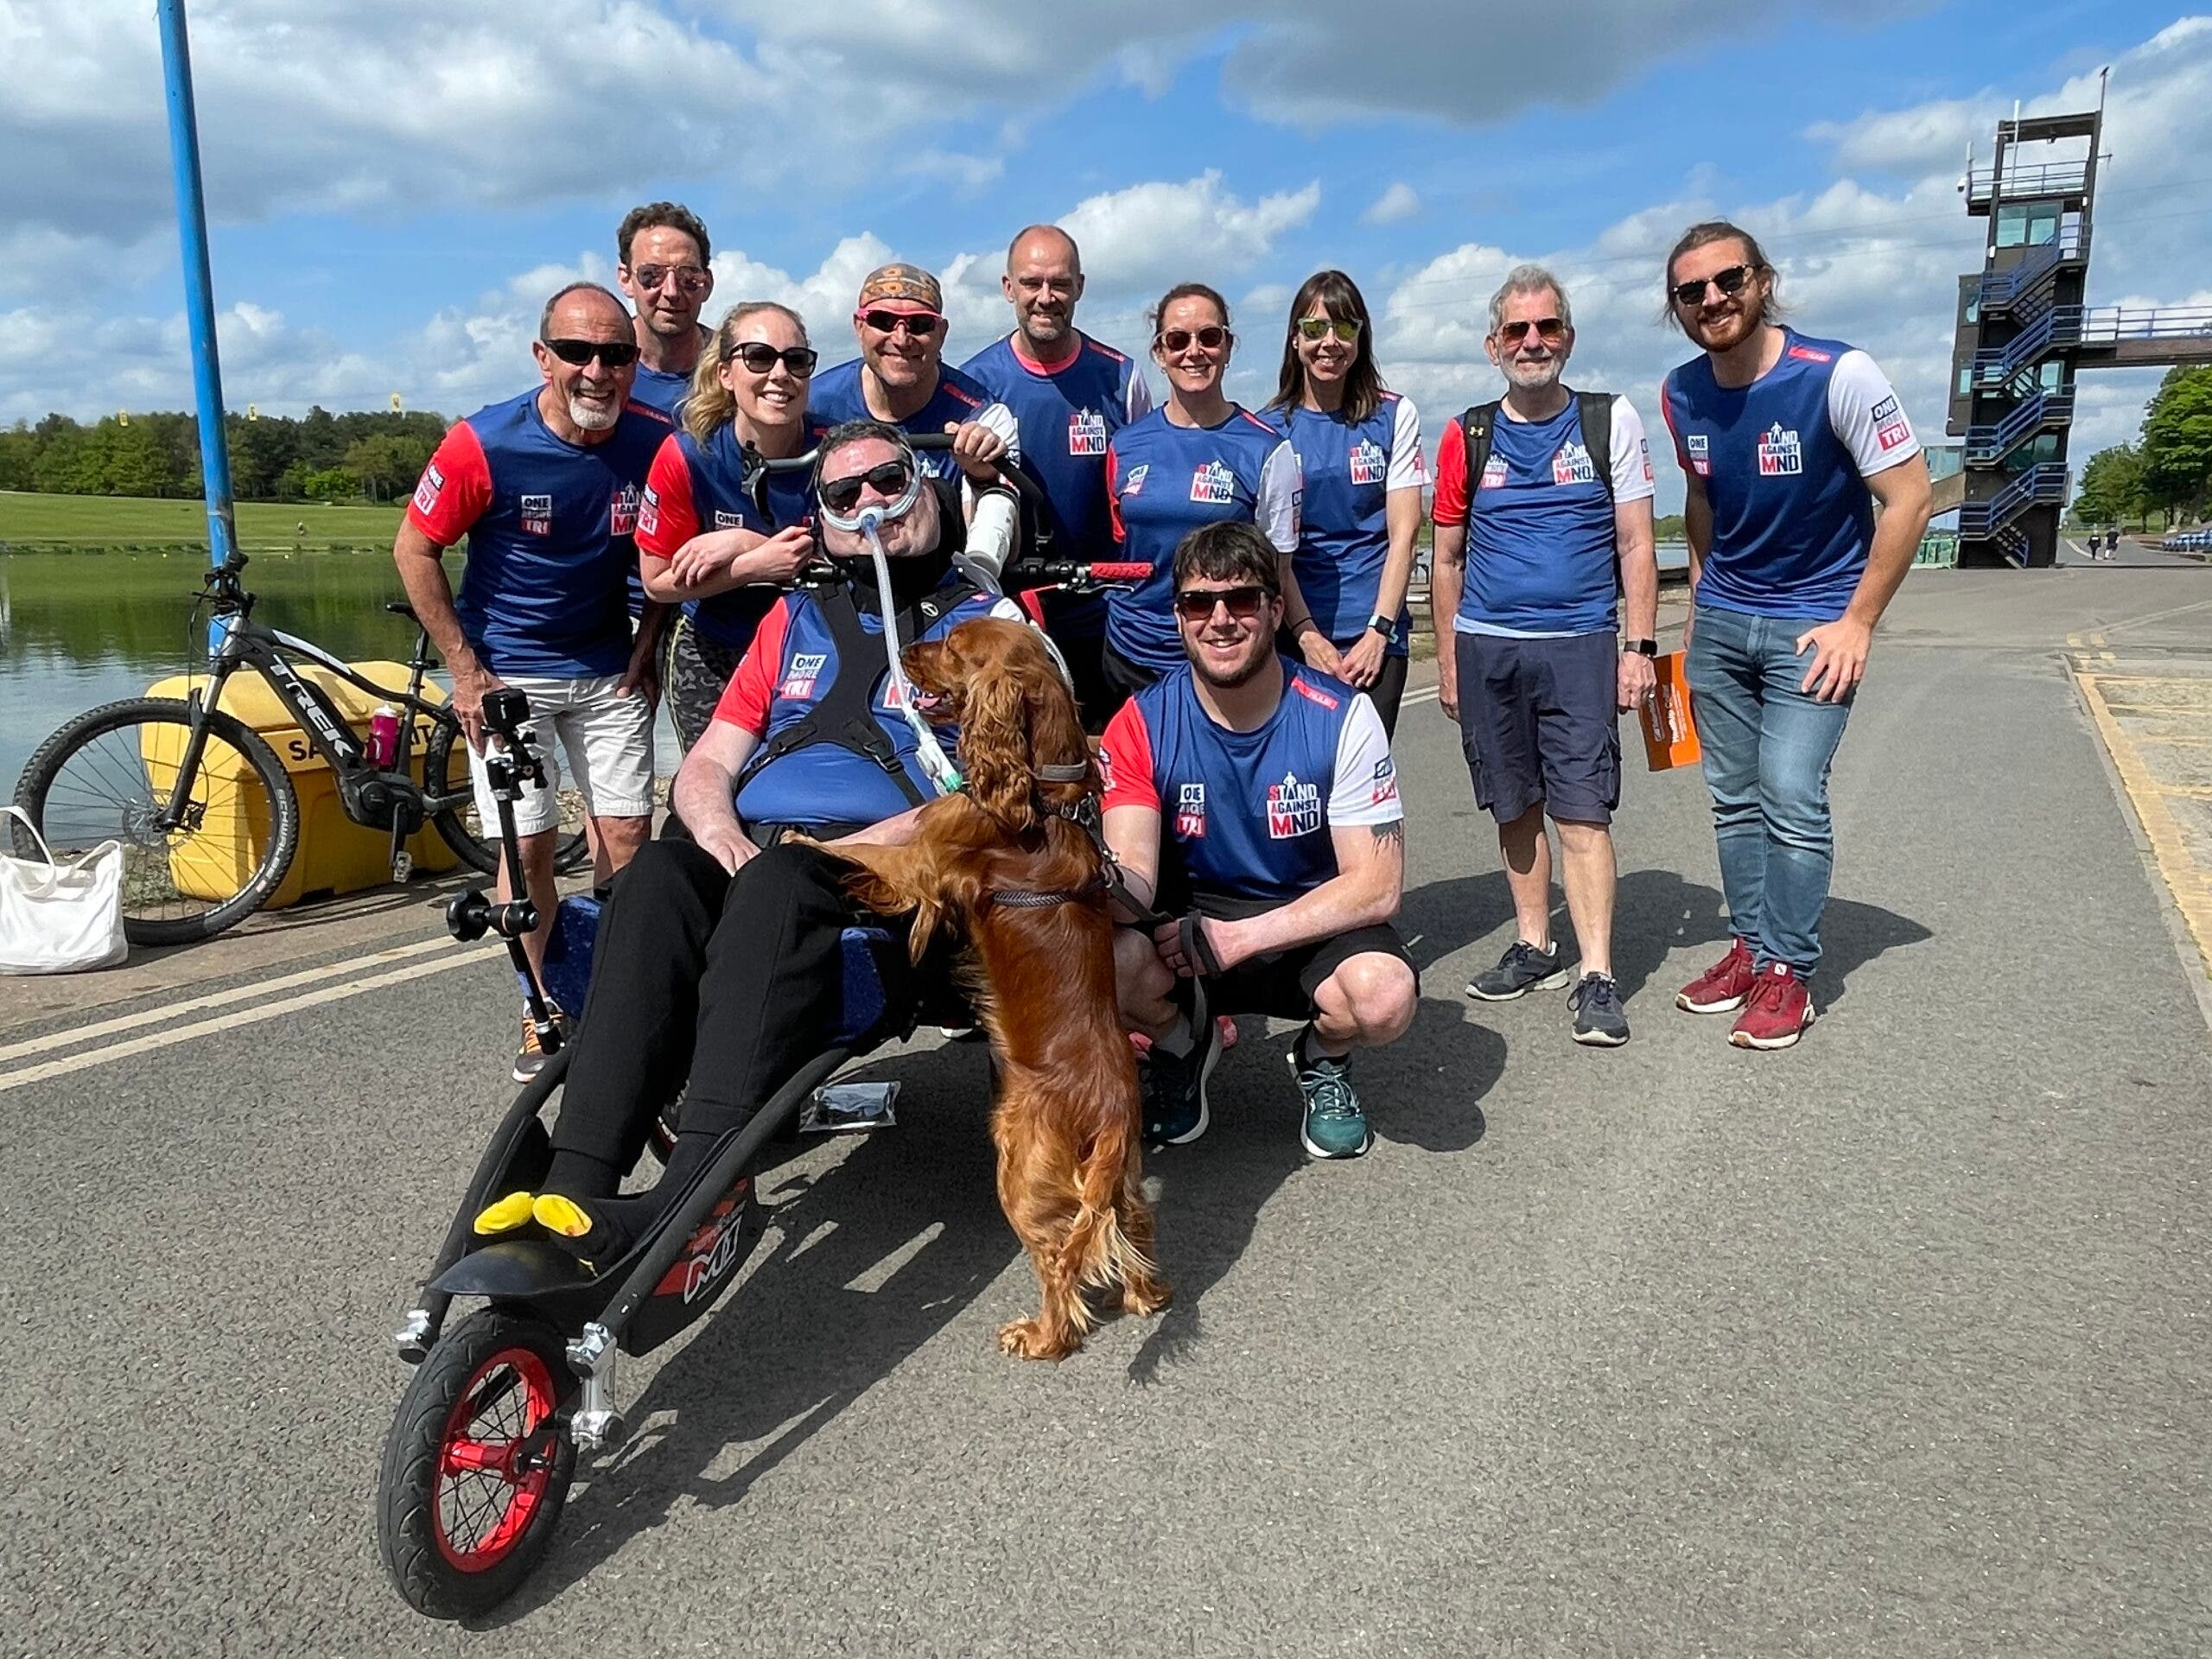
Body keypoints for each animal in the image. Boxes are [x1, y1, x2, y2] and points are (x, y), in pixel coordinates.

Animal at [817, 617, 1170, 1360]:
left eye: (953, 646)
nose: (907, 647)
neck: (1039, 794)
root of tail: (1113, 1111)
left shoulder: (923, 859)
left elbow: (860, 850)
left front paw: (791, 842)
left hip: (1020, 1171)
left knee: (1060, 1264)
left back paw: (1042, 1335)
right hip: (1118, 1179)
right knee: (1132, 1229)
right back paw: (1142, 1297)